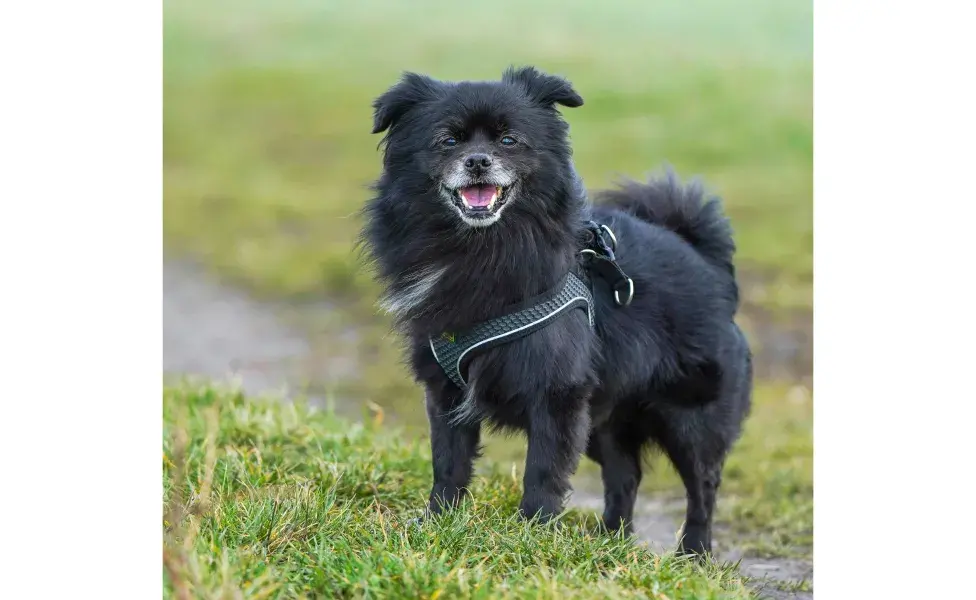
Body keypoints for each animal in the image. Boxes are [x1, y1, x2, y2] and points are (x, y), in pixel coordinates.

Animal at [362, 67, 752, 556]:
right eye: (447, 141)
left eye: (509, 140)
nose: (478, 161)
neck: (479, 250)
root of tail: (707, 262)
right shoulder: (446, 391)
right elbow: (448, 463)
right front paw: (437, 522)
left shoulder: (556, 395)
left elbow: (543, 471)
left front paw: (532, 533)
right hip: (606, 418)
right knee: (625, 476)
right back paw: (611, 543)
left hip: (690, 418)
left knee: (702, 486)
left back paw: (692, 554)